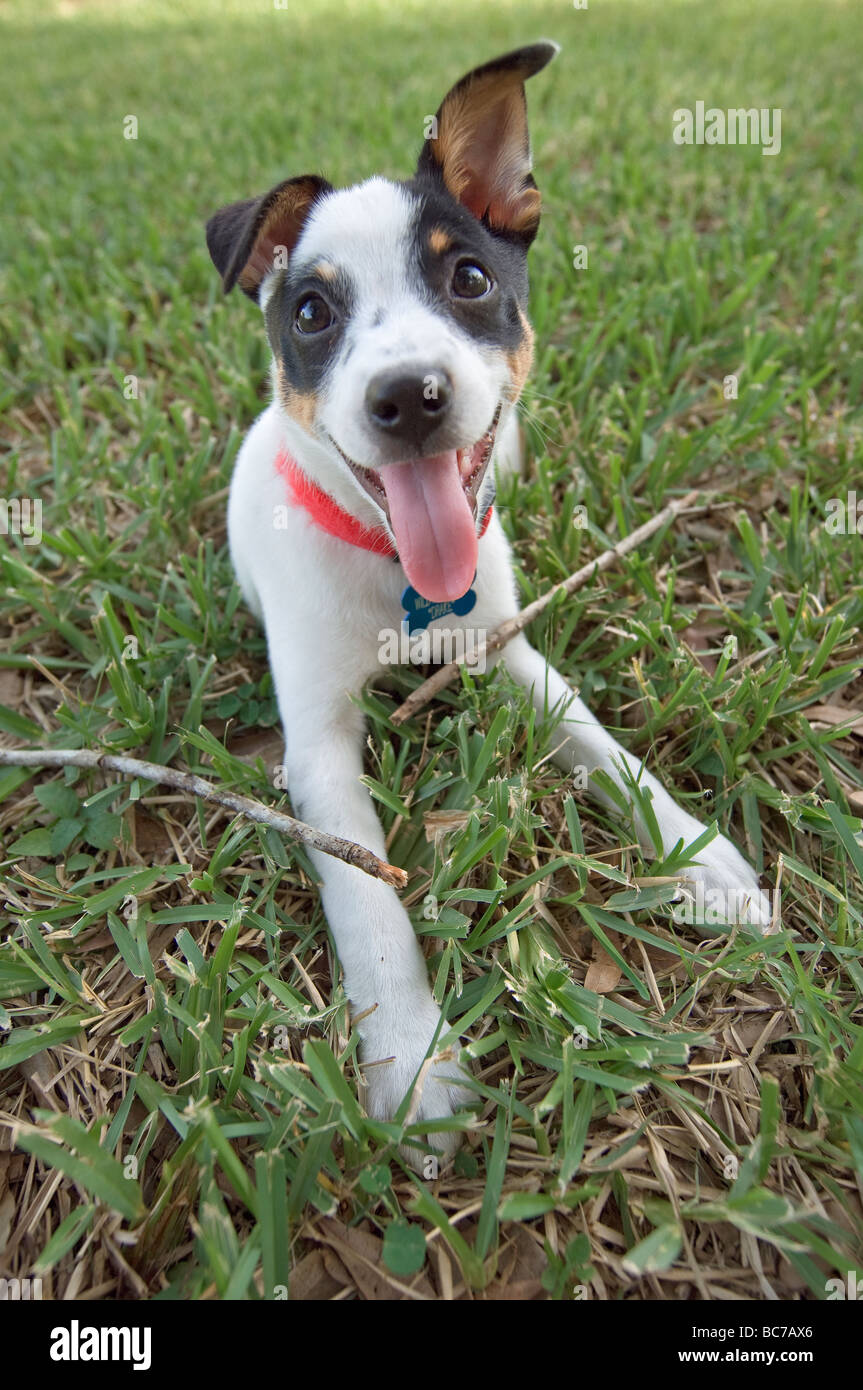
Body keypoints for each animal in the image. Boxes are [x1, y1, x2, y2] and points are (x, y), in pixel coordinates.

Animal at [204, 43, 767, 1162]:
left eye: (467, 277)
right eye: (310, 313)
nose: (408, 396)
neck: (396, 572)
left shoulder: (510, 652)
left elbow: (604, 746)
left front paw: (699, 855)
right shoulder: (316, 746)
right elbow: (367, 897)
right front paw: (413, 1059)